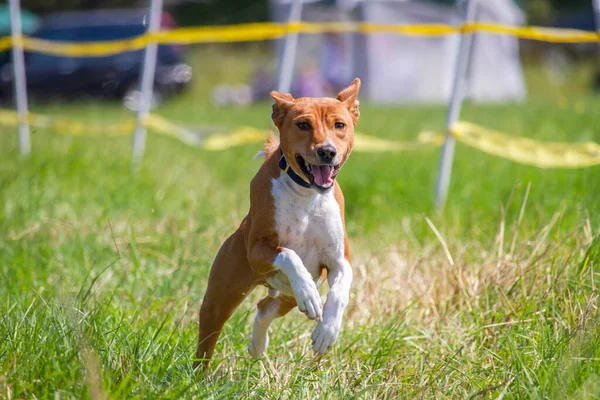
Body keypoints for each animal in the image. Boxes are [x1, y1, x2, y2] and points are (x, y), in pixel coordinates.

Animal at [196, 78, 360, 368]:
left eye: (339, 125)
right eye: (303, 124)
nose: (326, 151)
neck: (307, 194)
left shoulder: (339, 260)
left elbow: (340, 291)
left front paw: (326, 332)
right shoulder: (258, 251)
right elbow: (289, 254)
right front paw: (309, 292)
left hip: (286, 297)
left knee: (264, 308)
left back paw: (258, 346)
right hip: (223, 294)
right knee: (208, 334)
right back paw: (196, 374)